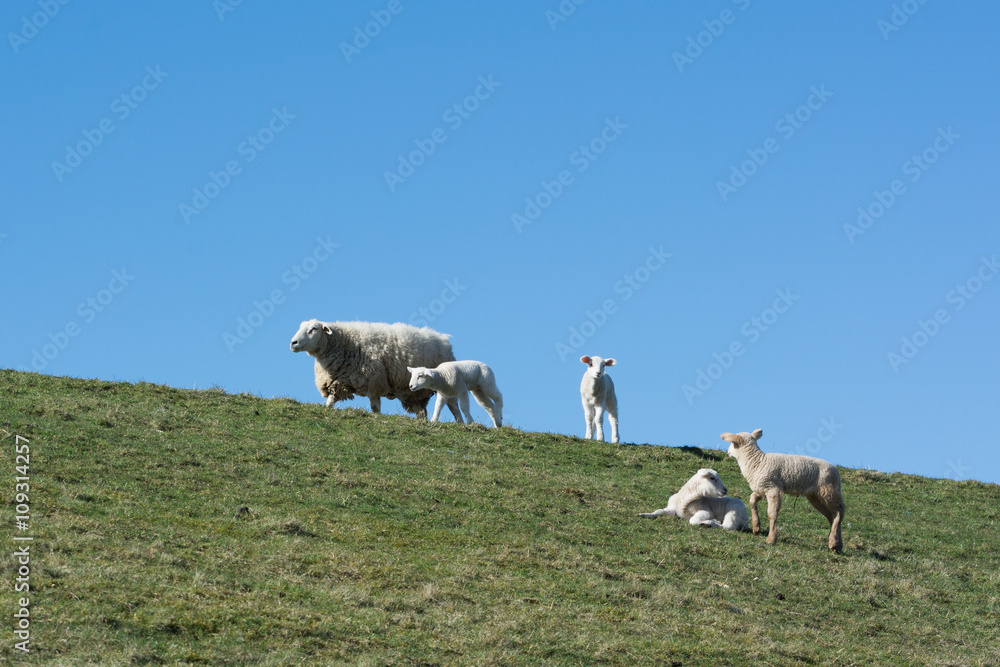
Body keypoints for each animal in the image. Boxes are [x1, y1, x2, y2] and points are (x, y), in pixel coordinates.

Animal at [289, 319, 462, 420]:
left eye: (314, 329)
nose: (293, 343)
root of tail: (444, 340)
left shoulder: (374, 381)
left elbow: (375, 407)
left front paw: (377, 417)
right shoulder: (338, 382)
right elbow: (330, 401)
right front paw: (327, 410)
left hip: (446, 383)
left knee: (453, 405)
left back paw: (461, 423)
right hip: (415, 392)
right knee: (421, 411)